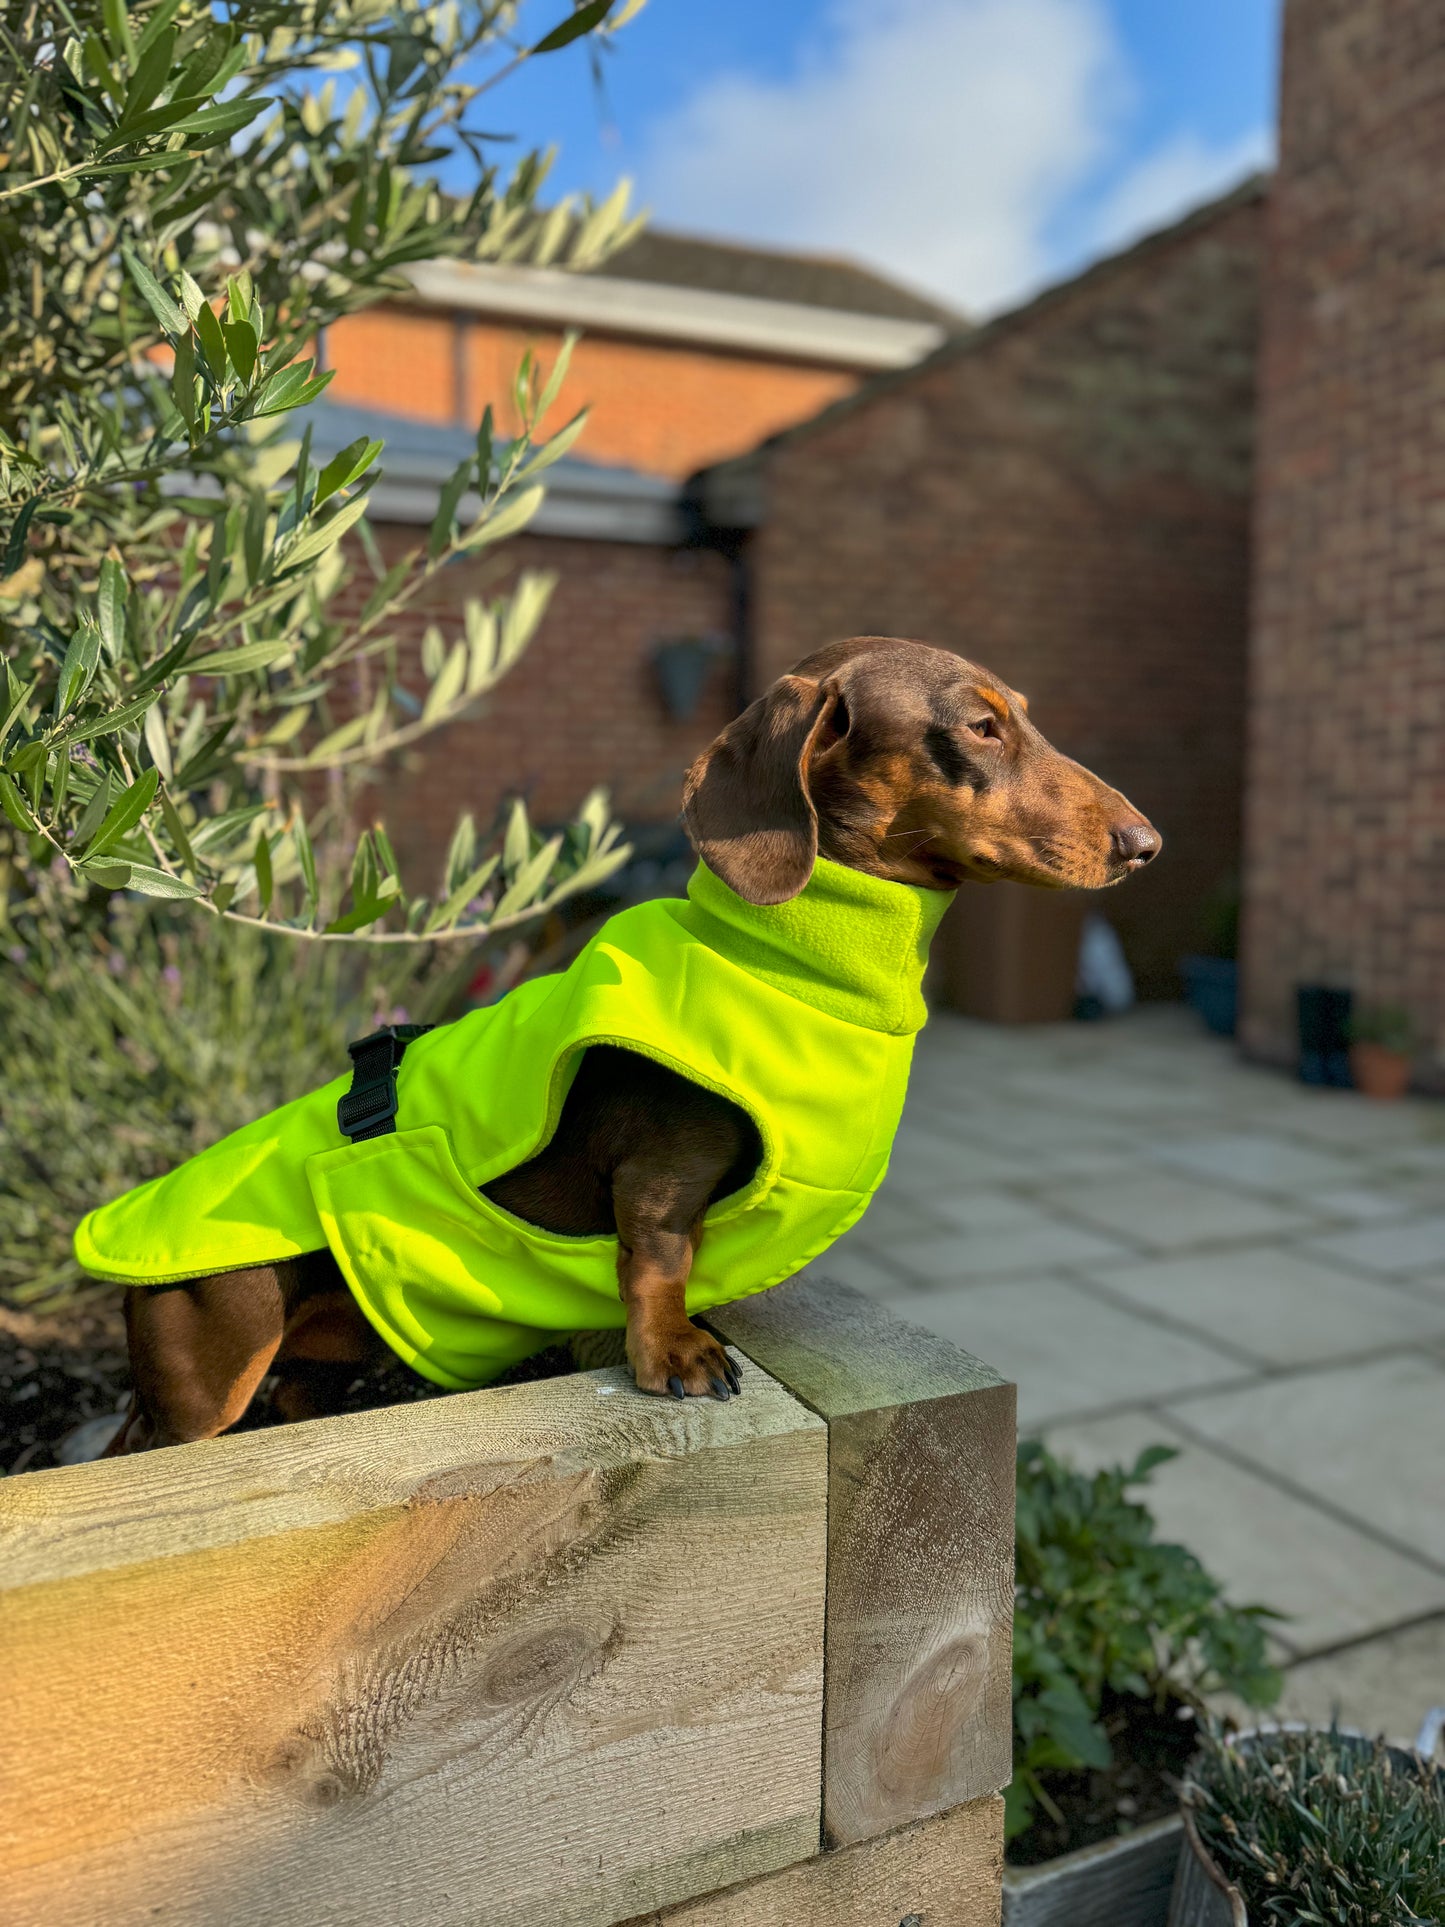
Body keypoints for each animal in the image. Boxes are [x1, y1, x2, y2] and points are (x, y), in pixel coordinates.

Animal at [107, 639, 1163, 1449]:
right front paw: (676, 1352)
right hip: (211, 1364)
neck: (791, 960)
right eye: (979, 727)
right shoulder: (662, 1165)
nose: (1145, 843)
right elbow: (656, 1257)